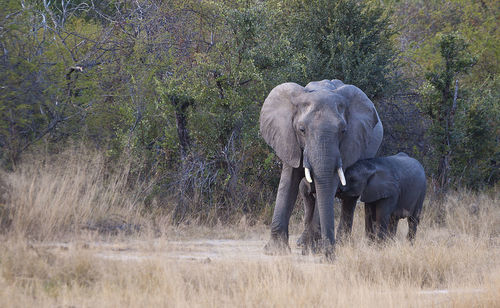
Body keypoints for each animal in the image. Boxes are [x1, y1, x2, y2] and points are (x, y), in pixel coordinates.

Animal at [258, 79, 382, 255]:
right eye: (302, 130)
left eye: (343, 131)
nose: (329, 251)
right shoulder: (288, 138)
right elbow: (288, 183)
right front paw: (275, 250)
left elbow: (328, 184)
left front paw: (313, 249)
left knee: (349, 199)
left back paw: (337, 243)